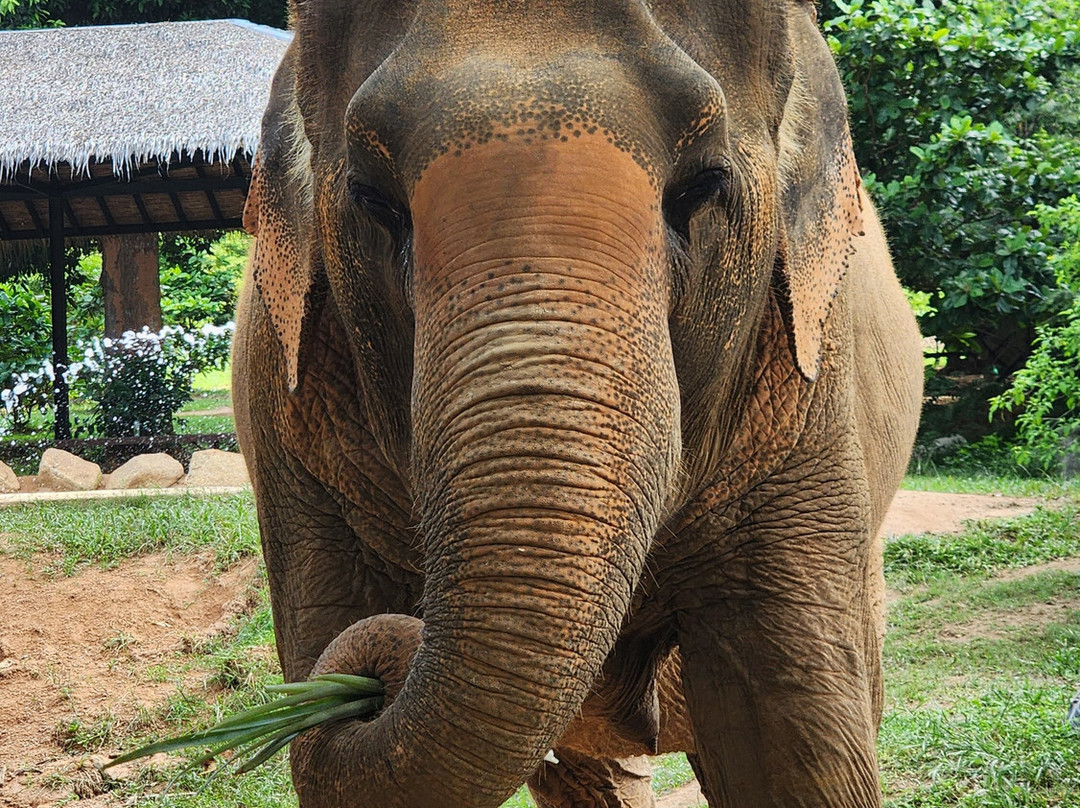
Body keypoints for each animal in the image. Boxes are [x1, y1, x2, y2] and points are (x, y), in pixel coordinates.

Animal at [231, 1, 923, 806]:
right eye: (373, 199)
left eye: (702, 185)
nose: (364, 692)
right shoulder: (293, 419)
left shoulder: (805, 388)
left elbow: (792, 742)